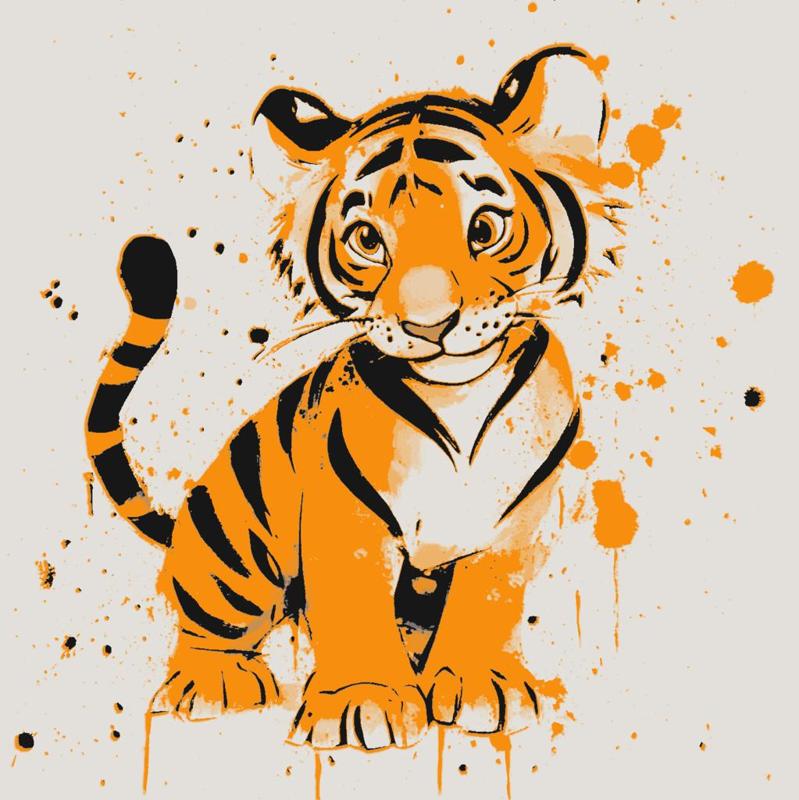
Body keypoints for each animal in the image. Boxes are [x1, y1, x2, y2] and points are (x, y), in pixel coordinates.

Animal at [85, 44, 628, 751]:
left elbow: (489, 598)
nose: (430, 323)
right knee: (213, 618)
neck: (459, 396)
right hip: (230, 536)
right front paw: (361, 702)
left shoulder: (514, 519)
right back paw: (216, 681)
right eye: (367, 240)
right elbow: (353, 599)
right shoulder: (345, 510)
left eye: (484, 228)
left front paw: (480, 686)